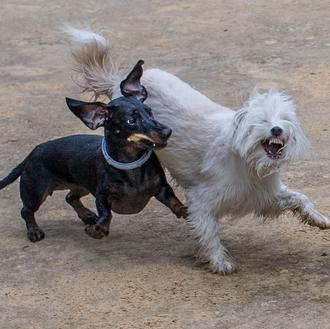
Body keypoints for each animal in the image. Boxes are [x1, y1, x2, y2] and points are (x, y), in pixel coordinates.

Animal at [0, 60, 186, 241]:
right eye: (131, 121)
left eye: (150, 112)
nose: (168, 131)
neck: (132, 166)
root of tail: (35, 150)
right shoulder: (101, 195)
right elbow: (106, 214)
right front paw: (98, 230)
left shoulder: (162, 189)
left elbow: (174, 201)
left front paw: (184, 210)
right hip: (36, 192)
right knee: (26, 210)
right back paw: (34, 231)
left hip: (81, 184)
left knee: (70, 197)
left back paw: (87, 215)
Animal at [64, 26, 330, 272]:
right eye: (262, 120)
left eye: (284, 120)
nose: (276, 130)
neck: (248, 161)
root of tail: (119, 84)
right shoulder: (203, 201)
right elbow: (209, 231)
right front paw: (219, 262)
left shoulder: (264, 194)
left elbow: (299, 198)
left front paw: (319, 219)